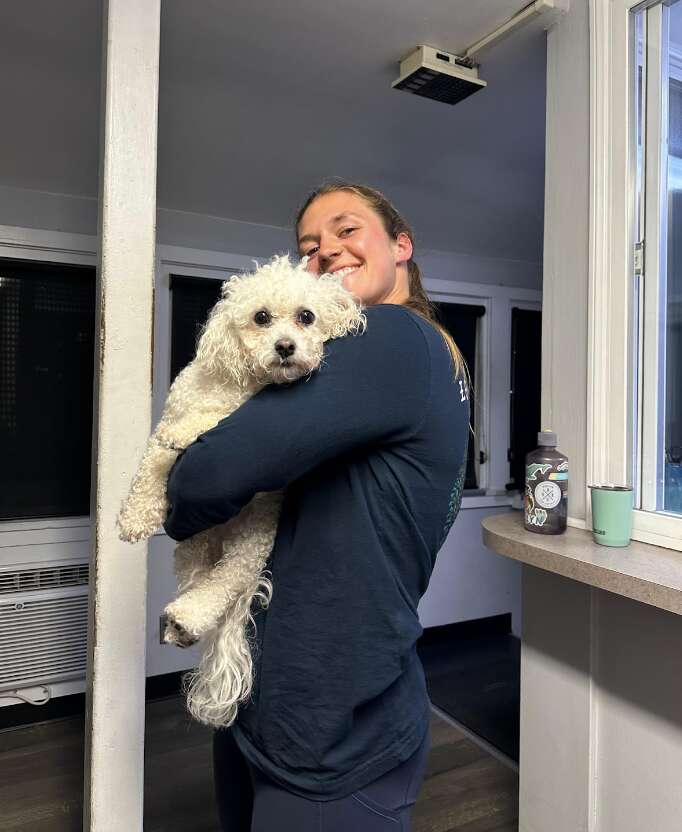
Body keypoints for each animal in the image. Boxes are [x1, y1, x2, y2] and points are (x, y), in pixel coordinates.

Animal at [115, 255, 366, 728]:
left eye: (307, 317)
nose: (286, 347)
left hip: (252, 538)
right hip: (195, 545)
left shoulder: (234, 414)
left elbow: (207, 423)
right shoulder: (172, 415)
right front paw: (137, 514)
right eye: (261, 317)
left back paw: (187, 616)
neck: (237, 384)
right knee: (201, 580)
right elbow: (152, 464)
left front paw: (188, 433)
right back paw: (182, 622)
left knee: (224, 584)